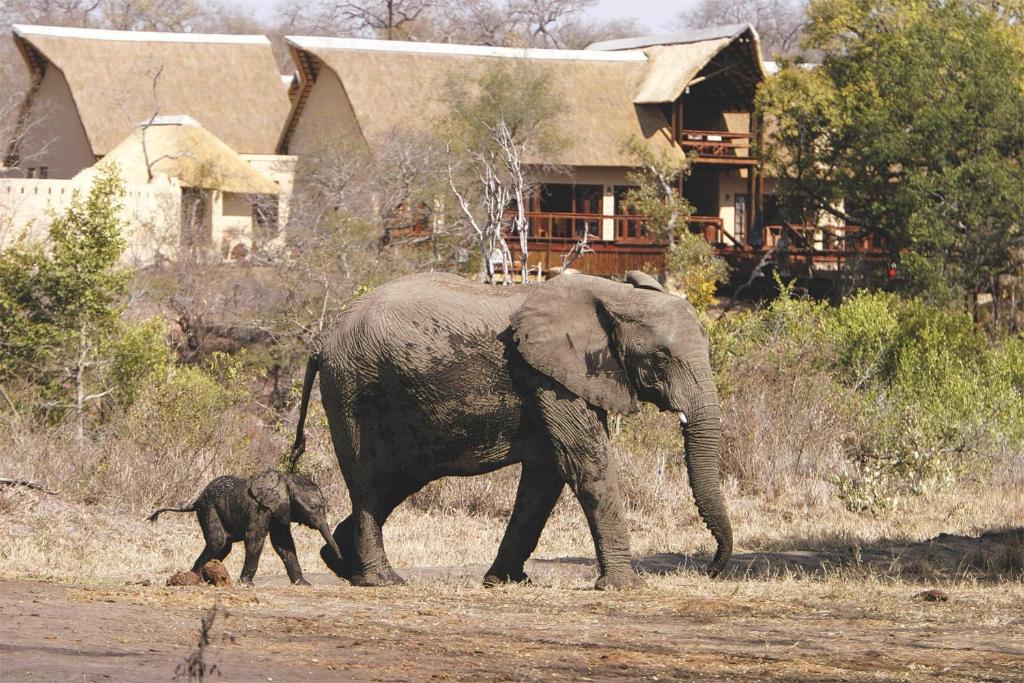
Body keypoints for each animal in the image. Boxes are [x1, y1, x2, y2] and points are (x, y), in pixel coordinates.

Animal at [147, 470, 343, 585]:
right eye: (313, 508)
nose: (340, 559)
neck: (285, 480)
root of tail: (196, 499)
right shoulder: (260, 509)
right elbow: (255, 538)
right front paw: (247, 585)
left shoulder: (279, 509)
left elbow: (283, 543)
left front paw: (303, 584)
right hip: (208, 508)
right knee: (217, 541)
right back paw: (194, 579)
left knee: (224, 546)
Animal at [290, 270, 732, 590]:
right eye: (661, 359)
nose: (710, 569)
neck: (614, 295)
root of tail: (321, 341)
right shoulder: (547, 376)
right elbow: (585, 463)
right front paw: (624, 587)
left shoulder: (565, 377)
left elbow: (546, 477)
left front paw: (505, 582)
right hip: (354, 394)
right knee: (369, 484)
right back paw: (381, 581)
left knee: (391, 485)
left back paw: (342, 564)